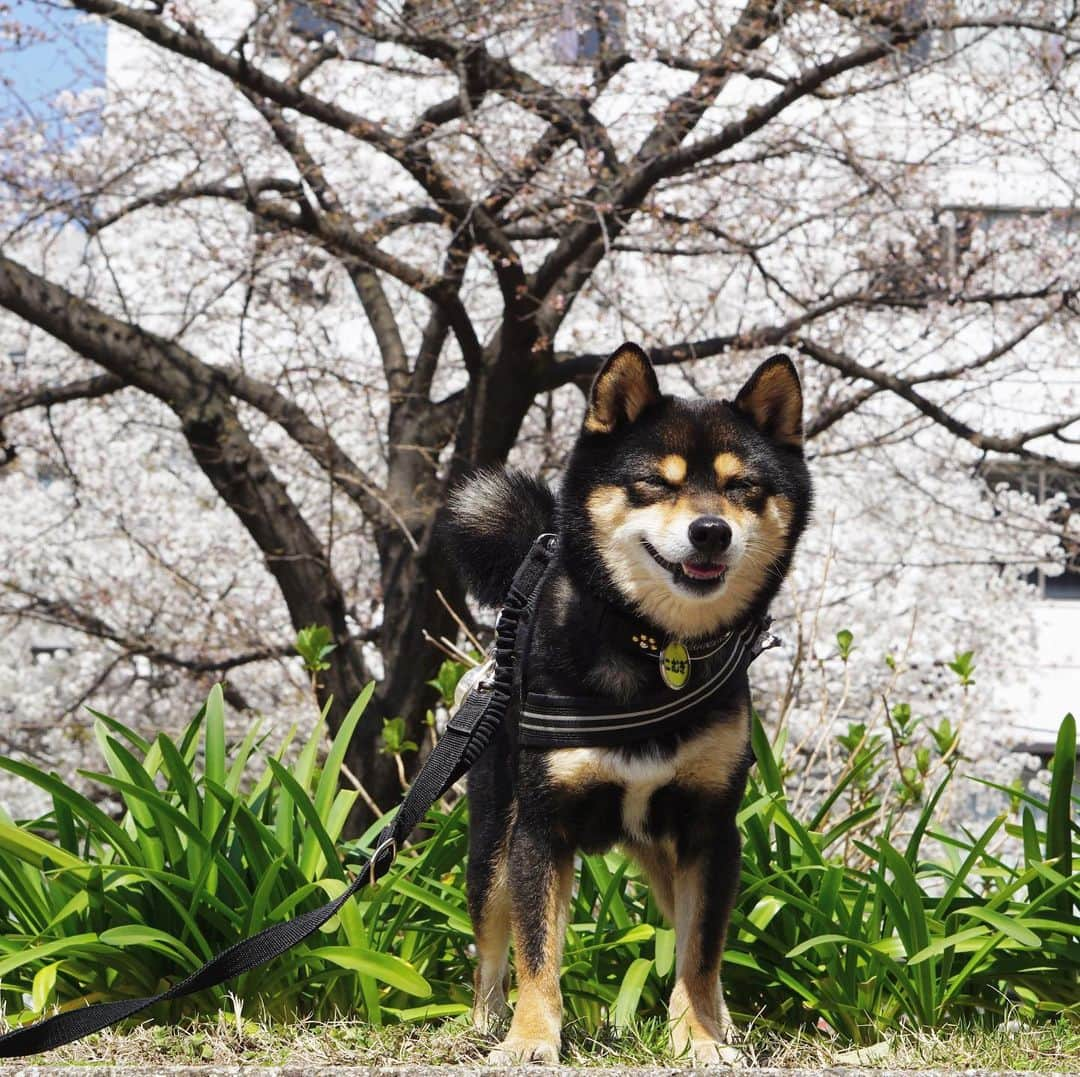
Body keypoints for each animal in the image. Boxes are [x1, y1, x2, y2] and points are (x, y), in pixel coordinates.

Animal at [444, 343, 812, 1058]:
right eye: (656, 484)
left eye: (741, 488)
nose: (710, 531)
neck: (653, 647)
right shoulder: (539, 828)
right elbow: (536, 950)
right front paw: (531, 1039)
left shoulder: (711, 830)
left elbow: (699, 954)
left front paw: (698, 1041)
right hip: (492, 844)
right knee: (491, 949)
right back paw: (485, 1024)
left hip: (667, 854)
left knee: (701, 945)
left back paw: (720, 1025)